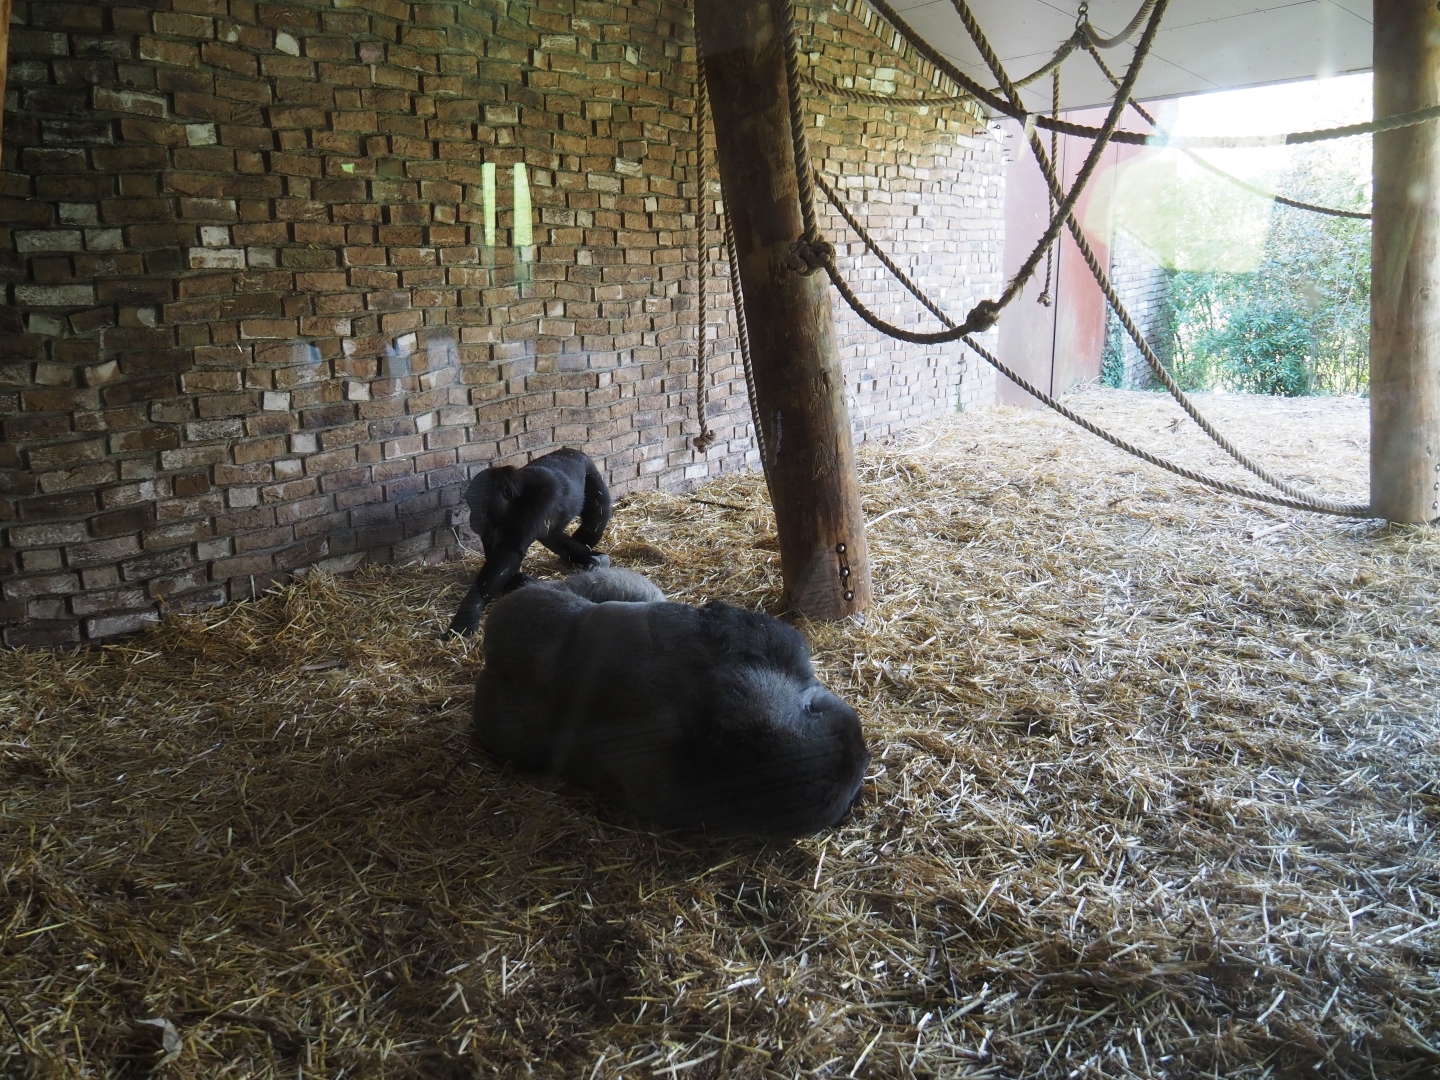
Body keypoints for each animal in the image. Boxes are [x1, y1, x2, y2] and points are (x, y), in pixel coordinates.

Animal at [449, 447, 612, 635]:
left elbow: (509, 553)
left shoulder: (543, 498)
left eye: (478, 503)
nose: (472, 517)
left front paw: (469, 611)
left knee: (596, 518)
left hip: (590, 470)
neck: (519, 497)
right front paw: (517, 580)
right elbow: (497, 551)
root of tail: (571, 450)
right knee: (552, 535)